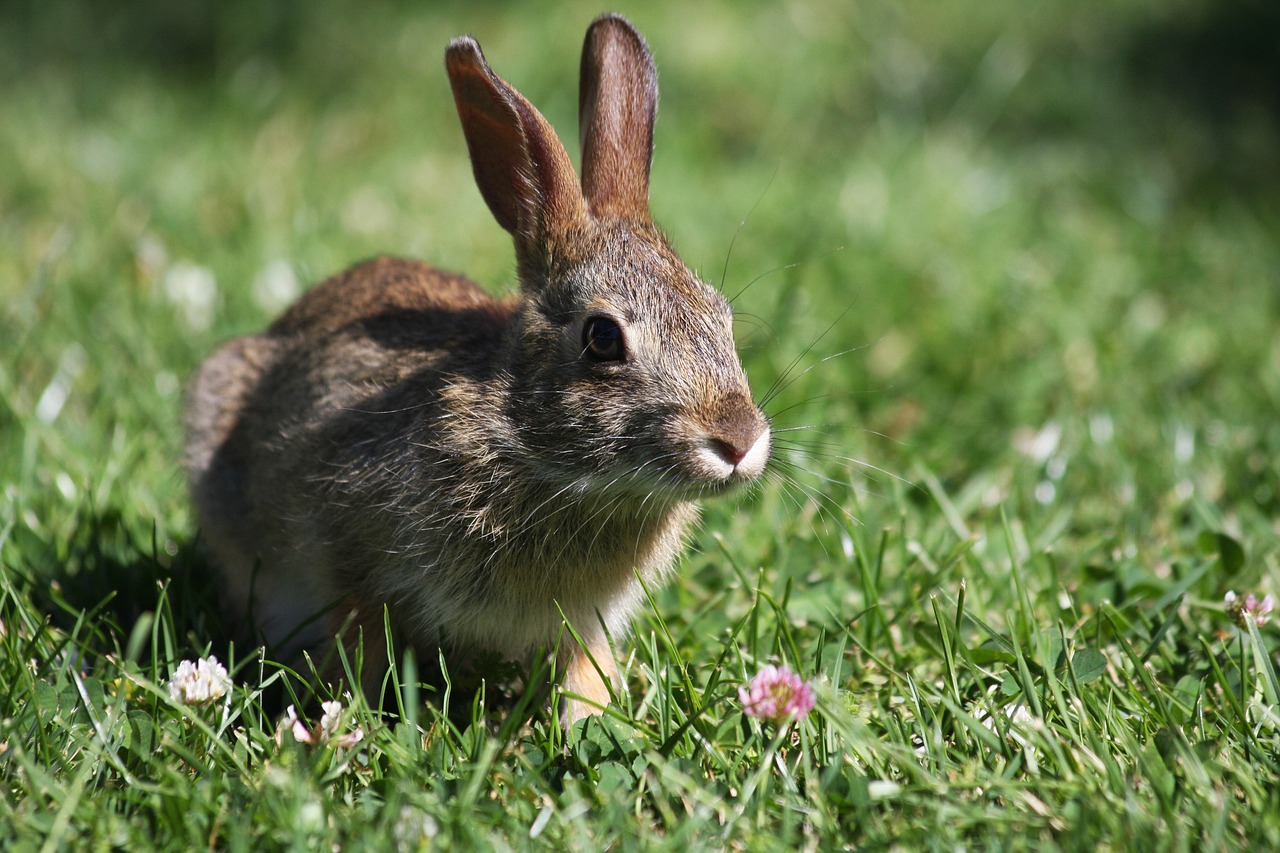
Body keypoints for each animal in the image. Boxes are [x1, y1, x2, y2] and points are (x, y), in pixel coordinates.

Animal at [184, 13, 771, 725]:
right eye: (602, 338)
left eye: (722, 316)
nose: (740, 442)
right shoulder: (351, 560)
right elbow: (360, 641)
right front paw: (353, 718)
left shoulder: (587, 622)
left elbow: (586, 673)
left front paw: (587, 722)